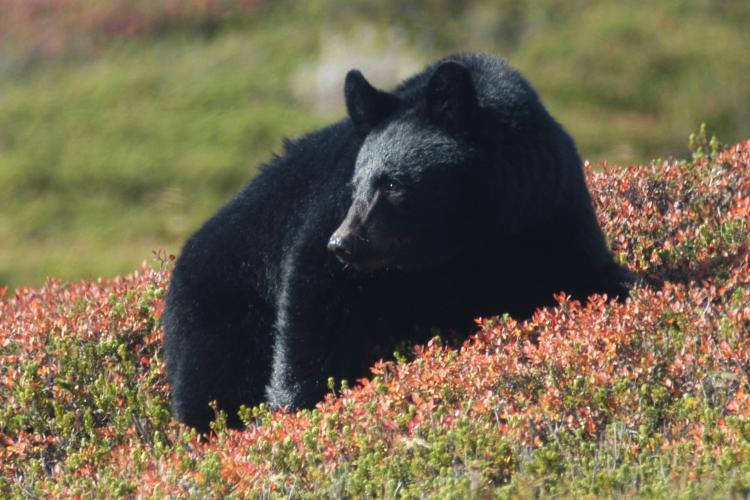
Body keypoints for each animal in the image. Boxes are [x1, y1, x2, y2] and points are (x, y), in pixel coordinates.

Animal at [166, 52, 636, 432]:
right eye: (356, 183)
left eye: (392, 183)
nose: (342, 243)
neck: (464, 242)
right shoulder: (332, 236)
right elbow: (314, 311)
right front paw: (298, 406)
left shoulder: (547, 209)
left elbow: (585, 273)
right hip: (220, 307)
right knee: (214, 377)